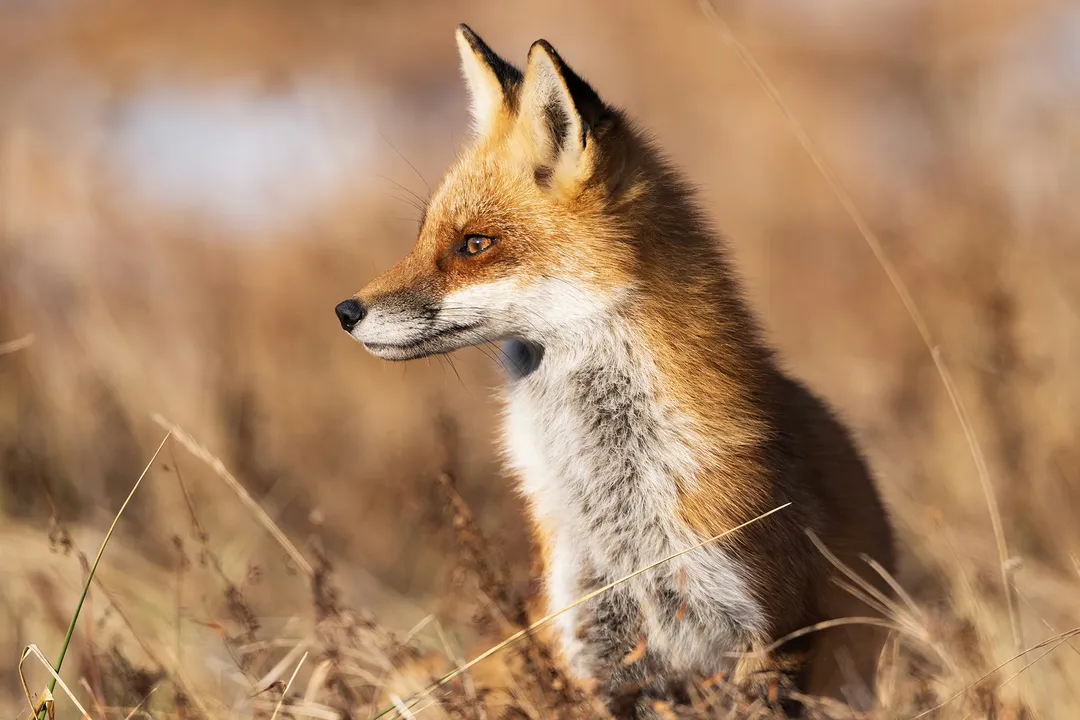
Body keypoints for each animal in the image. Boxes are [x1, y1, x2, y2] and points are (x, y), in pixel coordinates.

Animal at [334, 24, 896, 717]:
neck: (619, 512)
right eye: (422, 235)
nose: (345, 312)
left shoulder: (769, 636)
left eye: (474, 244)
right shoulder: (597, 651)